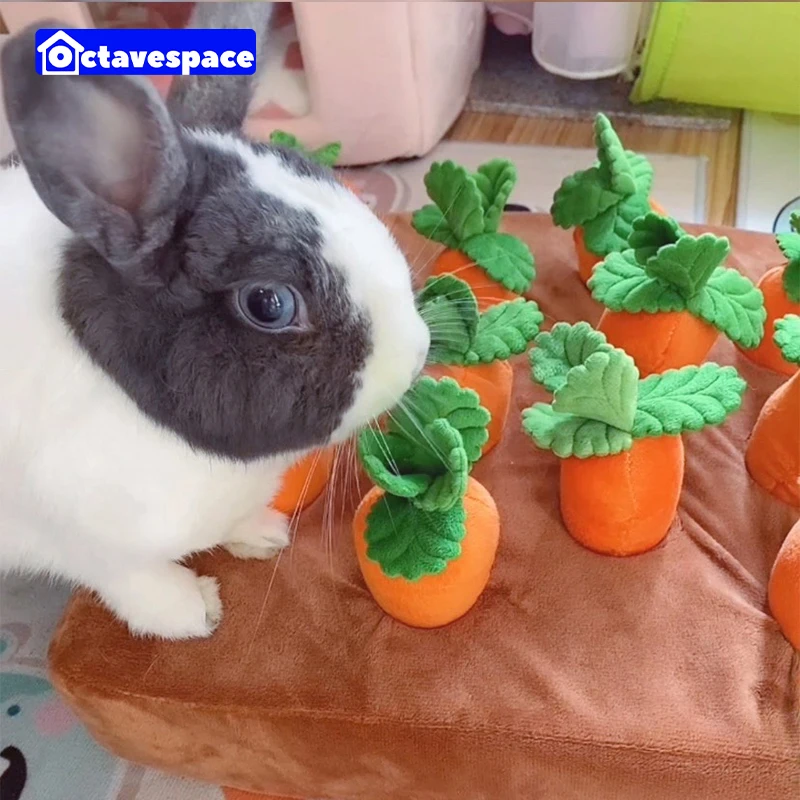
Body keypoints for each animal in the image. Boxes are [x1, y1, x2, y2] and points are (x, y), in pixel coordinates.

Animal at [0, 16, 429, 640]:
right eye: (269, 304)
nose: (418, 353)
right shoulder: (91, 543)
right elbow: (141, 586)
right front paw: (197, 613)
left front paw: (265, 536)